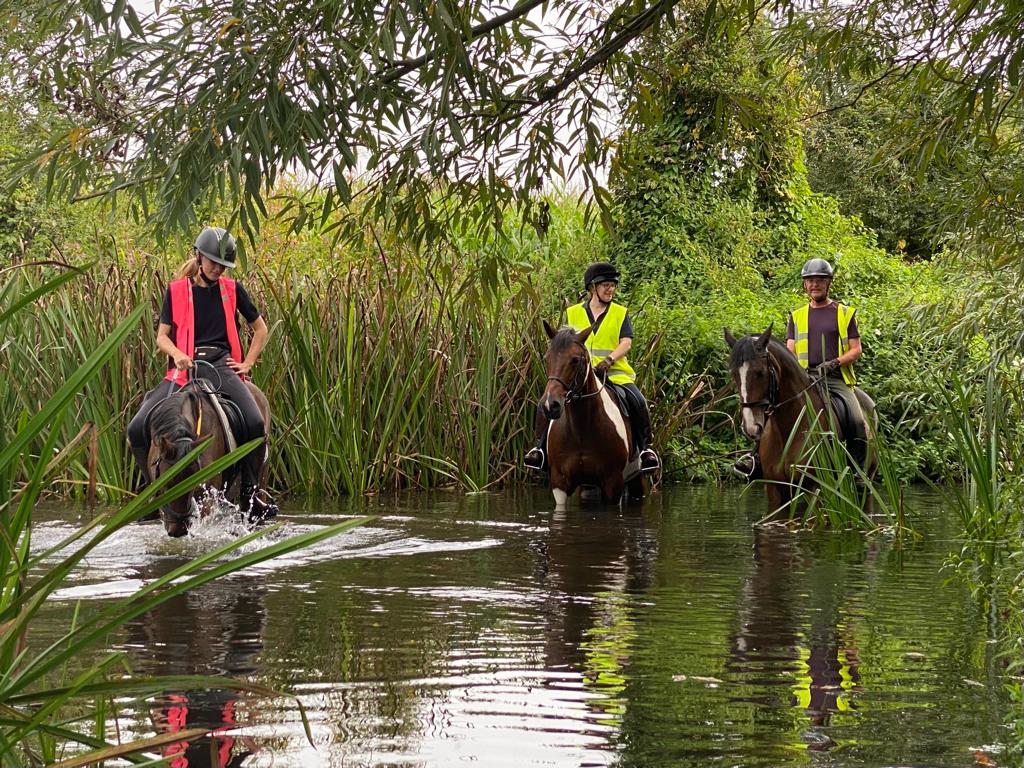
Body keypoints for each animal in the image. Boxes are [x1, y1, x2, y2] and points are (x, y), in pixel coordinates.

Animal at [540, 319, 643, 512]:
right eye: (546, 358)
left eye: (575, 360)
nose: (550, 405)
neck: (581, 429)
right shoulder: (559, 483)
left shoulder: (613, 483)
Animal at [724, 321, 876, 514]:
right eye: (734, 374)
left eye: (760, 372)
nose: (751, 427)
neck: (789, 428)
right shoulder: (775, 489)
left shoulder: (815, 489)